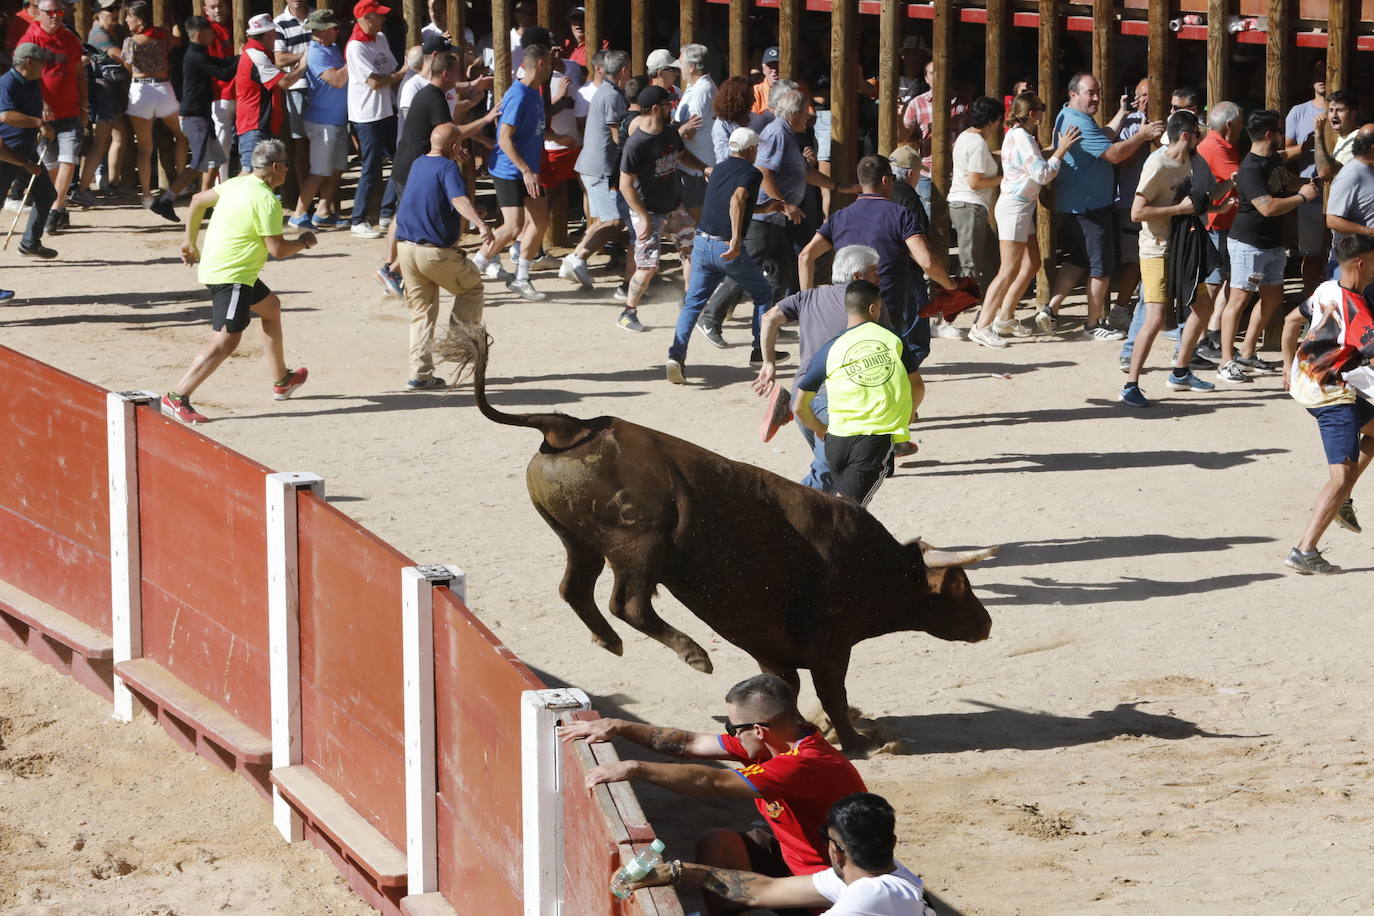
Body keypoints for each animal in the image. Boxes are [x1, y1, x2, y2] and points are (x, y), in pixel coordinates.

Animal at [445, 324, 994, 752]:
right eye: (960, 586)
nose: (987, 624)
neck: (873, 563)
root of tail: (569, 426)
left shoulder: (775, 651)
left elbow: (789, 690)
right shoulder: (830, 644)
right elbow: (832, 694)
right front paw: (860, 742)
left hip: (579, 542)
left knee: (576, 589)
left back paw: (611, 642)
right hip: (641, 545)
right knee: (629, 602)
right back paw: (693, 654)